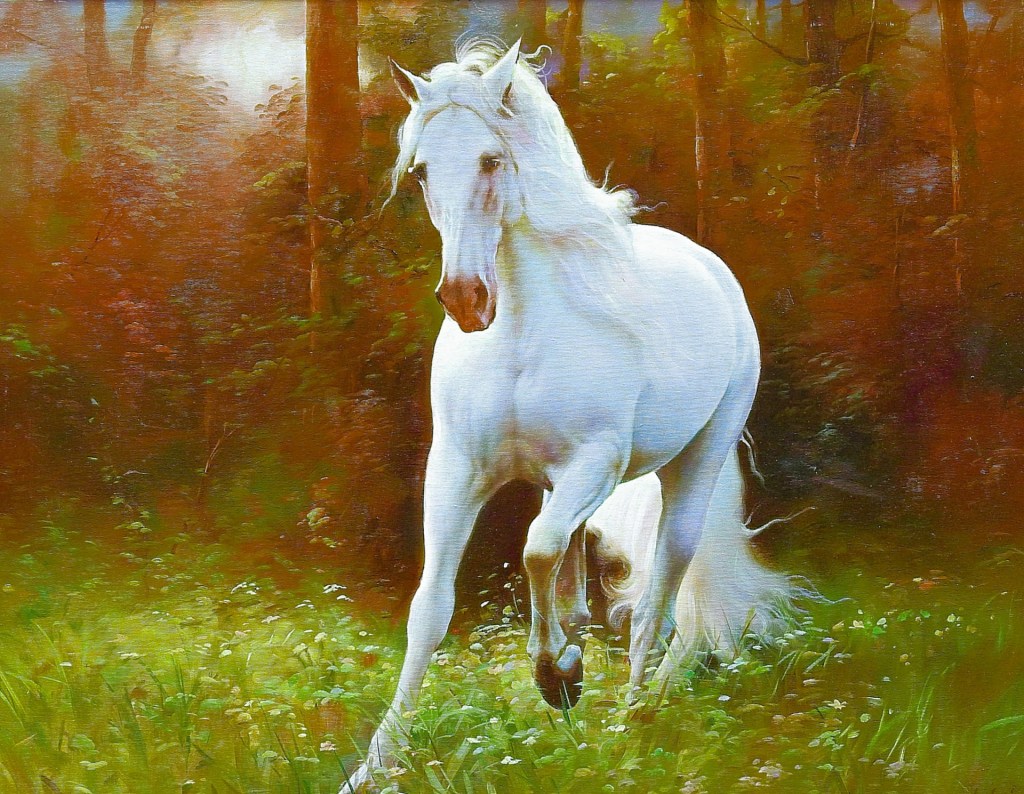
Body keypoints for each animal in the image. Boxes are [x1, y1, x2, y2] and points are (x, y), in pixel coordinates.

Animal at [340, 39, 797, 793]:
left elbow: (535, 551)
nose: (465, 300)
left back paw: (630, 728)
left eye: (491, 160)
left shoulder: (594, 465)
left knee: (658, 601)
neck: (522, 334)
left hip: (693, 465)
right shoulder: (455, 473)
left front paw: (556, 678)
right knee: (583, 590)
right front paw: (376, 763)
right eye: (422, 170)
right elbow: (431, 610)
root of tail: (712, 269)